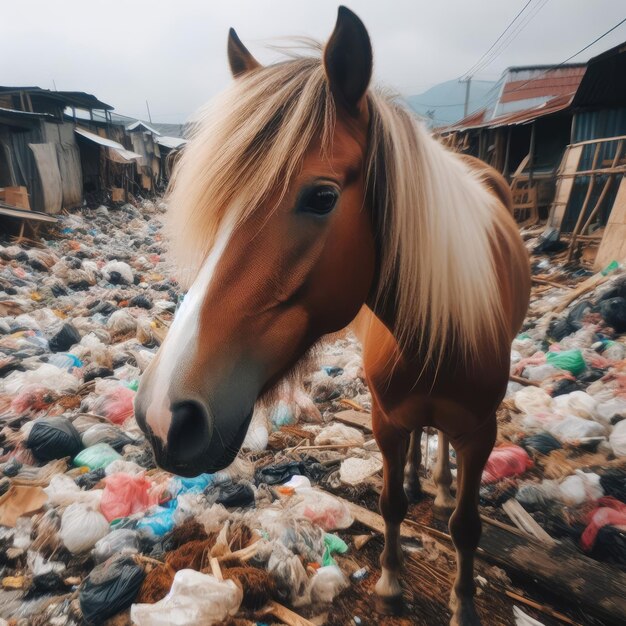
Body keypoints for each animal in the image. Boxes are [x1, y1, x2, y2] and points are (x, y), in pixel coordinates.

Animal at [134, 7, 528, 620]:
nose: (162, 416)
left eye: (321, 197)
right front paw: (391, 579)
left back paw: (439, 486)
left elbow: (467, 527)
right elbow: (389, 502)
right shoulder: (386, 420)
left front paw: (462, 604)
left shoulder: (481, 432)